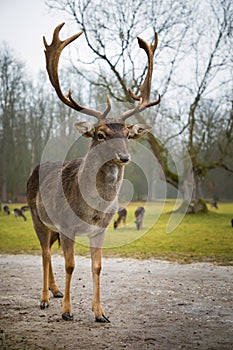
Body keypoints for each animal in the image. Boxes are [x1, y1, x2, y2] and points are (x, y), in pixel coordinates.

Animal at [26, 22, 160, 322]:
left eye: (128, 135)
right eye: (100, 134)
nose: (123, 157)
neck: (92, 208)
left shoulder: (101, 228)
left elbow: (97, 267)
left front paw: (100, 313)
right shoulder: (67, 225)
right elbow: (70, 265)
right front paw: (67, 312)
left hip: (51, 226)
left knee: (49, 253)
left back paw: (55, 291)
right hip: (38, 218)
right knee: (44, 254)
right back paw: (44, 299)